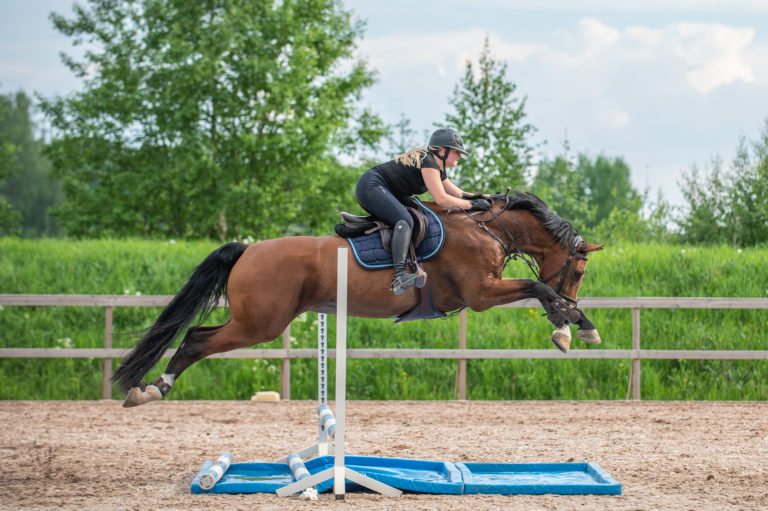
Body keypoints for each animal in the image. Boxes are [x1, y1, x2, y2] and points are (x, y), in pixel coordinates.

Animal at [112, 192, 608, 408]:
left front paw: (572, 326)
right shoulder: (481, 293)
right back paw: (153, 389)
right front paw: (573, 327)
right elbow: (541, 289)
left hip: (257, 321)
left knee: (196, 336)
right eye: (580, 271)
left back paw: (151, 388)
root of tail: (248, 249)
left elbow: (542, 292)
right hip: (260, 323)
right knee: (197, 339)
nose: (575, 290)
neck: (489, 228)